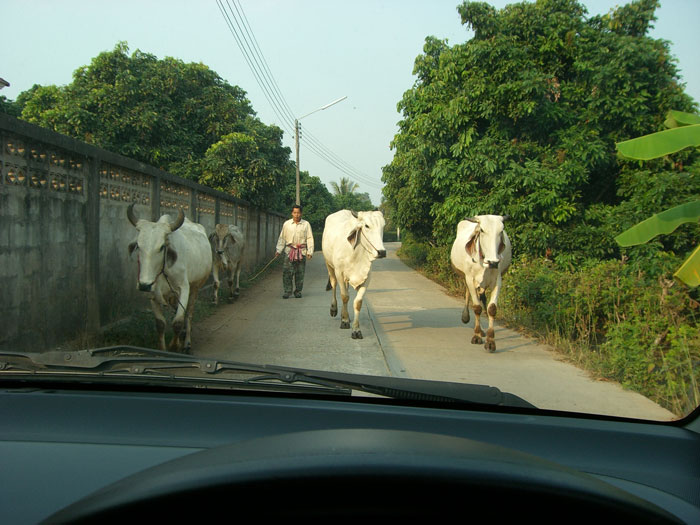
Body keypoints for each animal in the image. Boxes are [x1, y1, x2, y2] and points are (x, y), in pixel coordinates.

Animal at [127, 204, 212, 352]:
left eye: (162, 247)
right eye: (138, 246)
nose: (144, 285)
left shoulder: (184, 288)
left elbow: (177, 322)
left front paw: (174, 345)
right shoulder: (153, 294)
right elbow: (160, 324)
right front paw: (162, 348)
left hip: (195, 287)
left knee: (189, 314)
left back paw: (187, 342)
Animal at [324, 210, 388, 340]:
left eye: (383, 226)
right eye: (367, 226)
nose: (381, 252)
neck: (356, 253)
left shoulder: (367, 277)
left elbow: (358, 302)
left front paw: (356, 330)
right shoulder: (339, 272)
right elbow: (344, 296)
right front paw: (344, 321)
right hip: (329, 266)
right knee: (334, 285)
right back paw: (334, 309)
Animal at [452, 213, 512, 352]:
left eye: (501, 231)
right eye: (482, 230)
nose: (493, 262)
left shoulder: (497, 280)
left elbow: (491, 309)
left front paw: (490, 341)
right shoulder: (470, 278)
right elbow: (477, 307)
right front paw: (476, 336)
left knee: (481, 298)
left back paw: (482, 331)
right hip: (468, 279)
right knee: (469, 295)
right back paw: (468, 319)